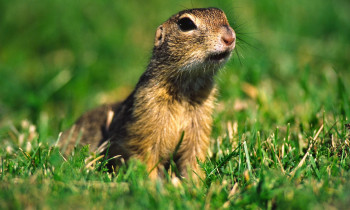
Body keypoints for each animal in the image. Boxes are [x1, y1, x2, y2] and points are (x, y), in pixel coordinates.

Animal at [60, 7, 235, 180]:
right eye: (186, 24)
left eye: (223, 15)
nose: (230, 37)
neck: (186, 89)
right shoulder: (145, 126)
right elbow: (146, 160)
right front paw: (152, 185)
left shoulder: (200, 128)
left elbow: (194, 160)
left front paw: (195, 183)